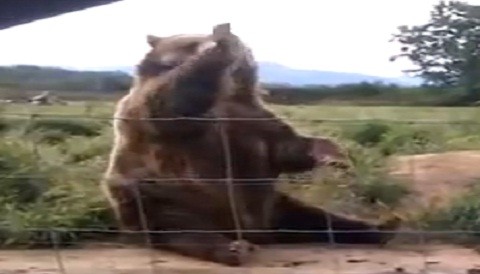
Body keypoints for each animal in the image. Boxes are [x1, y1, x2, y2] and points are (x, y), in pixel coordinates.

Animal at [99, 22, 400, 266]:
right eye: (190, 42)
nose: (219, 37)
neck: (225, 91)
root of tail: (252, 229)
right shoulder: (156, 116)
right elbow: (168, 102)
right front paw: (221, 44)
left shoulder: (251, 117)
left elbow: (285, 148)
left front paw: (332, 152)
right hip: (160, 196)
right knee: (182, 229)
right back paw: (232, 249)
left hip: (274, 205)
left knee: (315, 218)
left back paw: (382, 227)